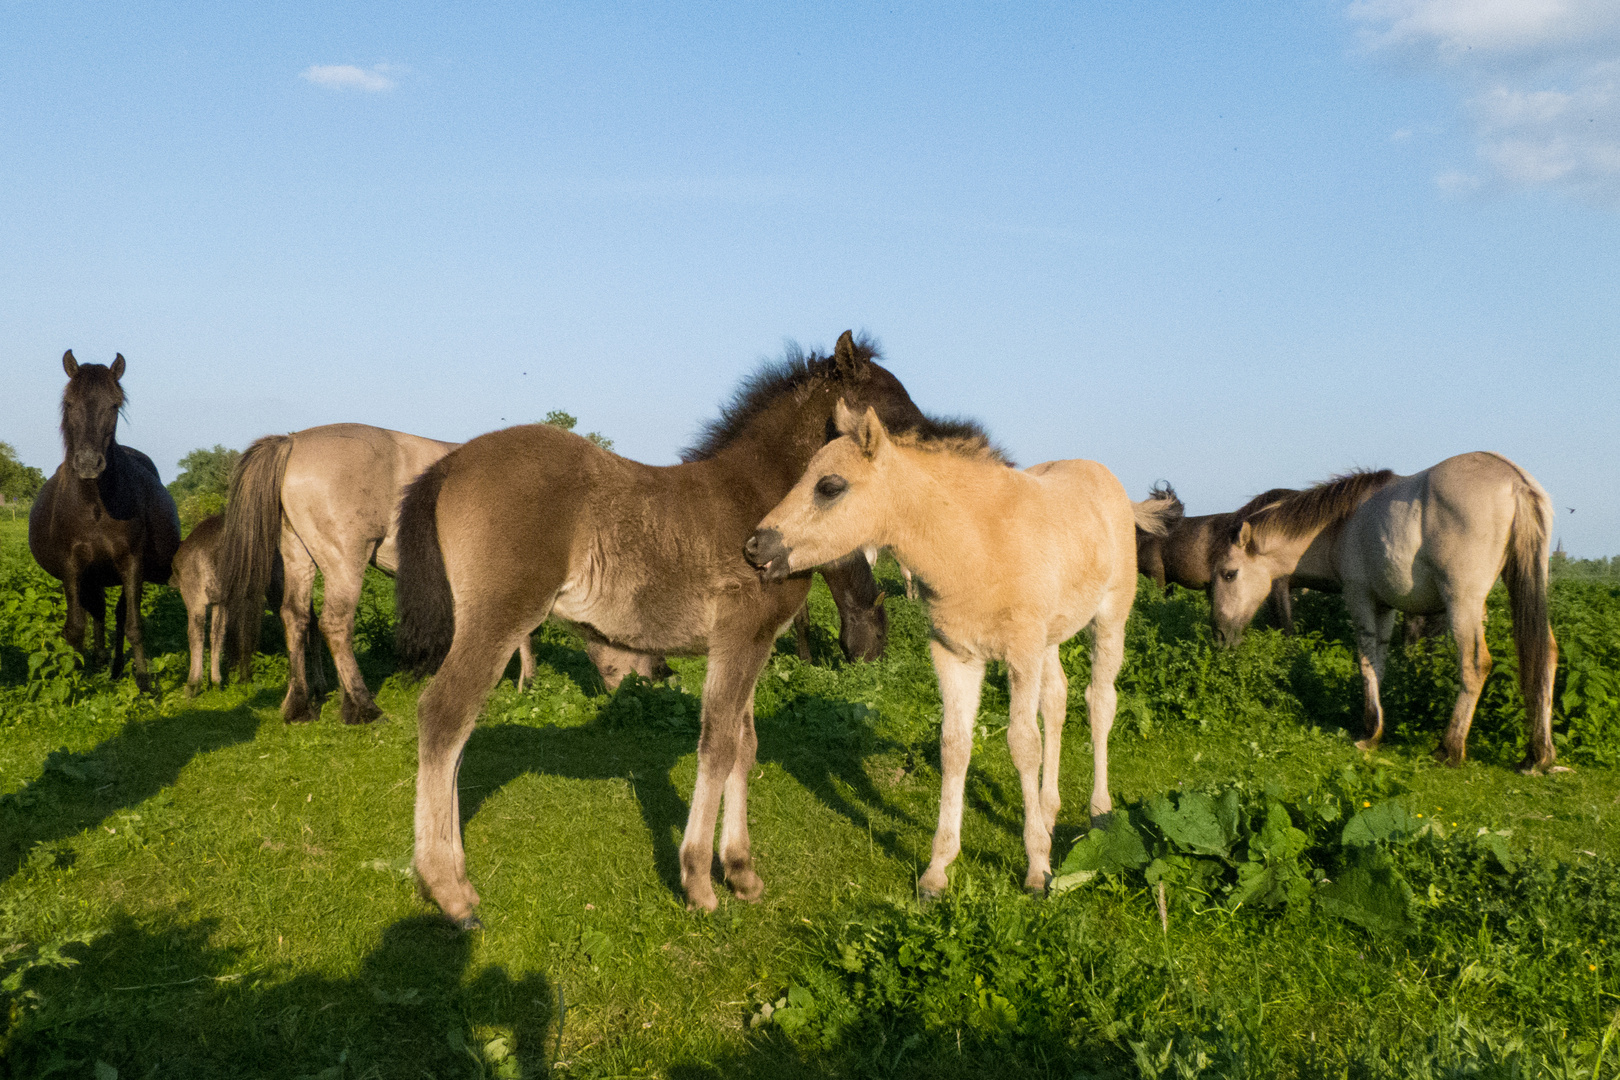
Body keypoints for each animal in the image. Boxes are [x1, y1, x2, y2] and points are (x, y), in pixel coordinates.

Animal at [28, 354, 180, 693]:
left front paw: (144, 682)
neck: (94, 505)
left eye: (114, 405)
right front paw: (73, 679)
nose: (88, 463)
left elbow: (134, 625)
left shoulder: (131, 564)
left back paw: (115, 667)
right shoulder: (72, 567)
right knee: (96, 611)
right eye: (69, 403)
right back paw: (98, 663)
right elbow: (75, 628)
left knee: (119, 615)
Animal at [395, 333, 939, 926]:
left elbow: (745, 745)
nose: (933, 473)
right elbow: (718, 746)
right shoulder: (741, 638)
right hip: (498, 616)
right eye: (895, 411)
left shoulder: (749, 644)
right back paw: (450, 893)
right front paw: (699, 881)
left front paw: (741, 872)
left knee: (458, 737)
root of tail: (450, 462)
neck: (759, 497)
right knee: (444, 715)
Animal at [745, 401, 1179, 900]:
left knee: (1100, 701)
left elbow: (1022, 743)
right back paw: (1048, 810)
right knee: (1057, 700)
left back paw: (1100, 813)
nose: (754, 547)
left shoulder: (1020, 652)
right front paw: (937, 870)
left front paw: (1037, 869)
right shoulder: (955, 656)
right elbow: (954, 746)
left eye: (829, 486)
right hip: (1050, 639)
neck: (976, 548)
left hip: (1109, 619)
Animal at [1211, 456, 1561, 777]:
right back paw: (1537, 756)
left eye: (1229, 574)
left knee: (1474, 665)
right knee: (1546, 655)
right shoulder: (1386, 606)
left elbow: (1367, 661)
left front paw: (1371, 732)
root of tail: (1515, 481)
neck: (1338, 526)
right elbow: (1380, 662)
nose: (1219, 635)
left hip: (1463, 603)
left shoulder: (1360, 597)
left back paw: (1449, 748)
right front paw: (1376, 726)